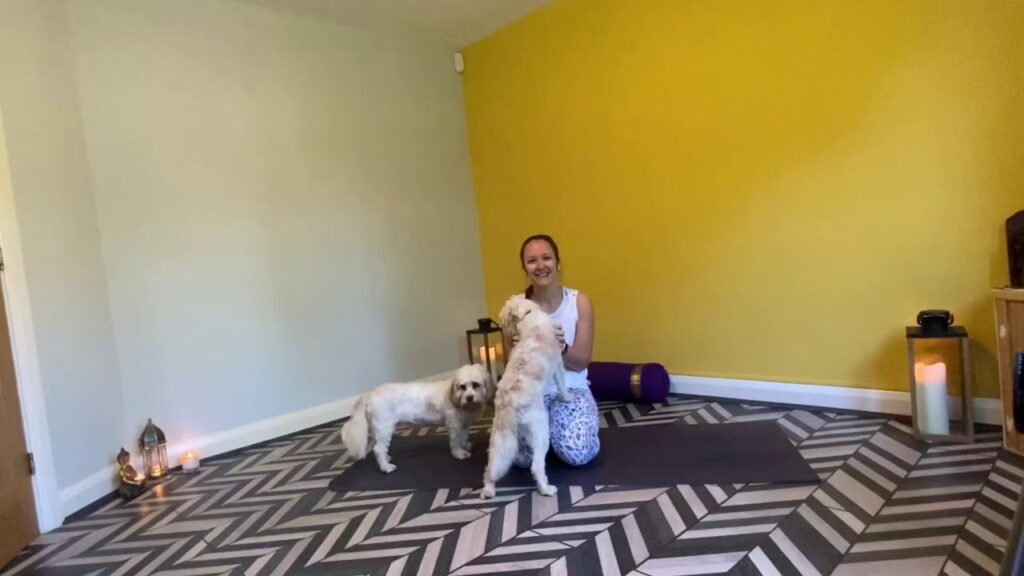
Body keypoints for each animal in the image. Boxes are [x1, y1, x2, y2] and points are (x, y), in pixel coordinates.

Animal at [339, 362, 491, 471]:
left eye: (476, 385)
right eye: (462, 387)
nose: (469, 397)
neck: (456, 398)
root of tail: (370, 394)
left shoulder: (463, 424)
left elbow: (464, 437)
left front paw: (466, 446)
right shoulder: (454, 426)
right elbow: (456, 442)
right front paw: (459, 453)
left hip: (378, 429)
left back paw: (386, 458)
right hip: (384, 428)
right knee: (378, 449)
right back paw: (385, 467)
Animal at [479, 293, 569, 496]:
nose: (504, 328)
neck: (529, 316)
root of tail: (509, 403)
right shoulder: (558, 364)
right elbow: (562, 383)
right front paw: (567, 397)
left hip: (500, 437)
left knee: (491, 467)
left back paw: (488, 489)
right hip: (540, 431)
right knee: (536, 466)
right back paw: (547, 489)